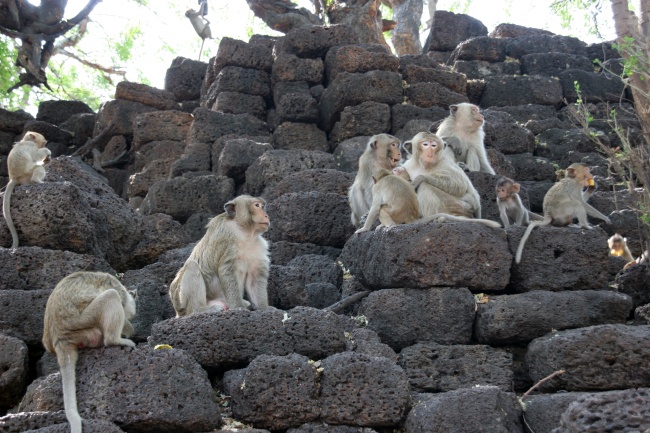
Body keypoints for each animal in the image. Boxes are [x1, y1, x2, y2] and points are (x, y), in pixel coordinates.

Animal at [41, 270, 135, 432]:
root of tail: (60, 338)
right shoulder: (115, 285)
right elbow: (117, 296)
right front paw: (130, 329)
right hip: (84, 322)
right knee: (111, 295)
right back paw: (114, 340)